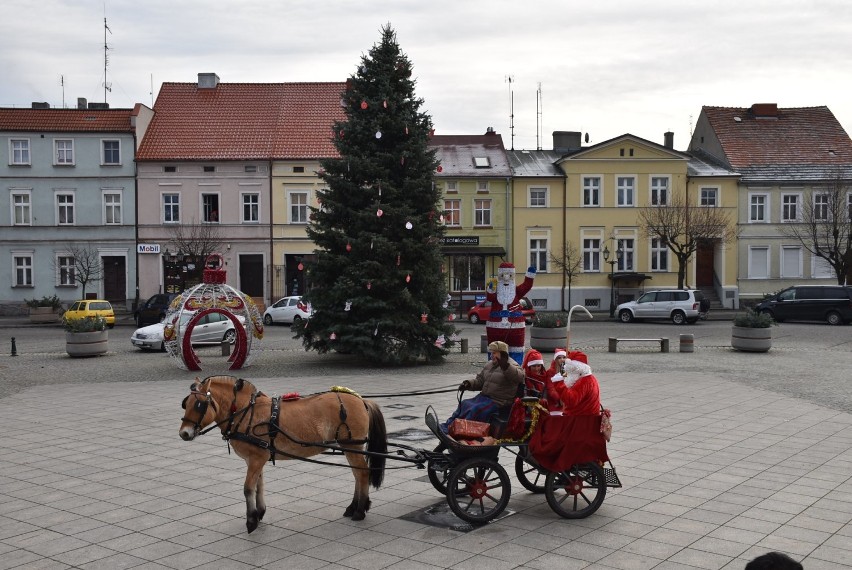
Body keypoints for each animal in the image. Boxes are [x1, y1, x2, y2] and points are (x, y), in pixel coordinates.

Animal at [181, 374, 392, 532]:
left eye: (199, 405)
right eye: (186, 403)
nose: (184, 433)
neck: (246, 412)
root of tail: (362, 400)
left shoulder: (256, 459)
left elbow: (248, 488)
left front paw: (251, 521)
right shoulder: (256, 459)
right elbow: (259, 486)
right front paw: (259, 513)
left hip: (352, 445)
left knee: (362, 474)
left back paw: (360, 511)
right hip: (350, 446)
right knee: (358, 474)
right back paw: (354, 507)